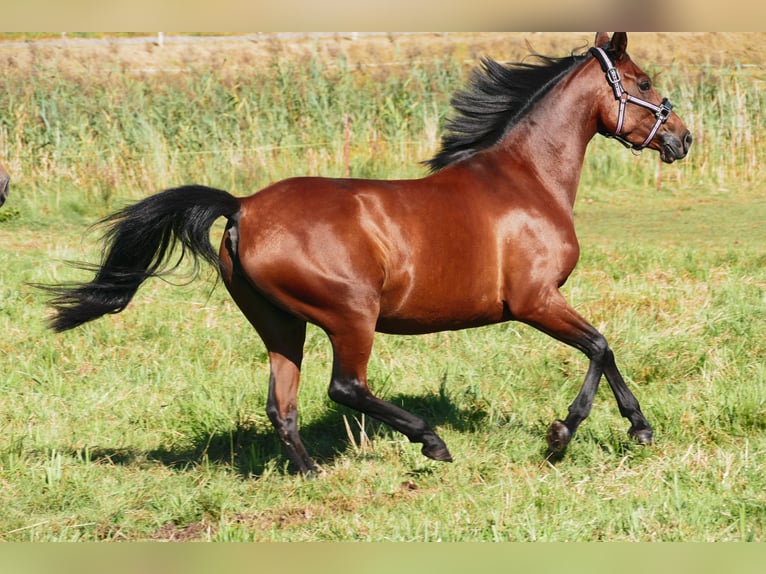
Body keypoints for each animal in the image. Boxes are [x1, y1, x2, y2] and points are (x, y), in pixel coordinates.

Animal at [46, 32, 696, 476]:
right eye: (642, 83)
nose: (682, 138)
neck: (527, 178)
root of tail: (243, 207)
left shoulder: (542, 302)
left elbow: (602, 349)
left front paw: (624, 428)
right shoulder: (535, 300)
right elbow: (600, 345)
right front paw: (574, 433)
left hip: (279, 325)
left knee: (281, 404)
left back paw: (310, 473)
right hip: (351, 316)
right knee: (345, 388)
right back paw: (431, 442)